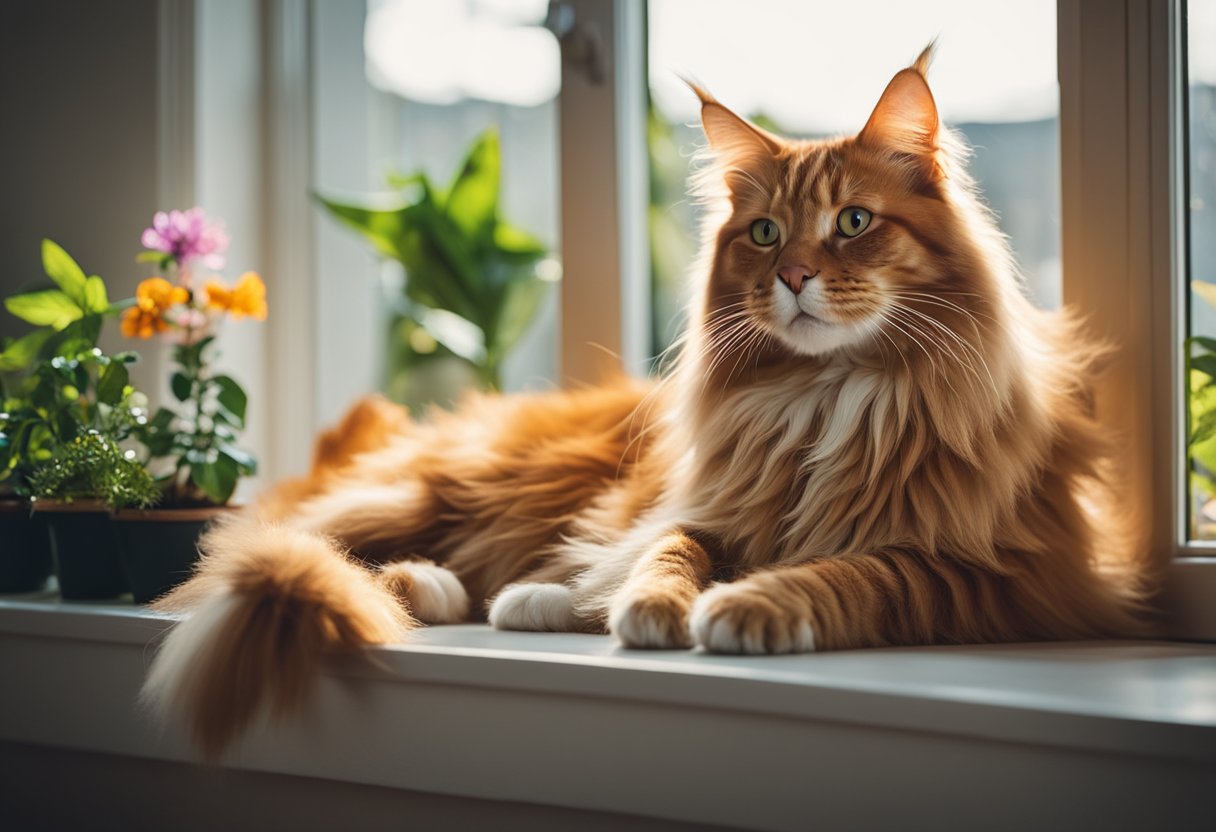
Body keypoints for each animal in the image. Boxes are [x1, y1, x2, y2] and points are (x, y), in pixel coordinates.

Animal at [142, 47, 1147, 759]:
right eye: (765, 232)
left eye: (854, 223)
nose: (791, 276)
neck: (824, 400)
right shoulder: (709, 509)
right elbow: (666, 551)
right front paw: (655, 607)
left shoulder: (978, 569)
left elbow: (851, 571)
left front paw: (746, 607)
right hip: (431, 496)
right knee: (255, 556)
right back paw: (465, 589)